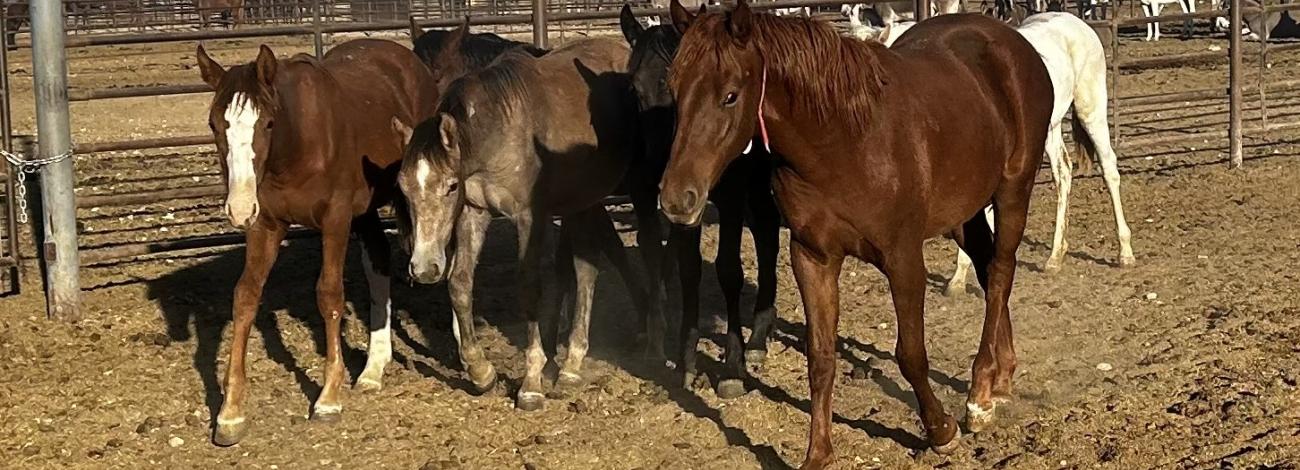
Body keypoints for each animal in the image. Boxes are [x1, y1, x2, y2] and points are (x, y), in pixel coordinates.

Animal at [195, 39, 438, 446]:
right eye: (214, 124)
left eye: (268, 122)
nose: (238, 207)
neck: (294, 148)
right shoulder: (265, 224)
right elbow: (245, 296)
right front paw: (230, 412)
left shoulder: (335, 220)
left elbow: (329, 295)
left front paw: (328, 398)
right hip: (365, 211)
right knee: (378, 261)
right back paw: (374, 367)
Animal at [396, 38, 653, 412]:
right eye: (403, 188)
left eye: (451, 186)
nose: (424, 267)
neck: (500, 131)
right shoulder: (474, 211)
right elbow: (459, 283)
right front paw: (481, 370)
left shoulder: (529, 216)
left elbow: (529, 287)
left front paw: (531, 382)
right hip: (584, 201)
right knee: (589, 266)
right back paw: (573, 363)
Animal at [619, 4, 782, 398]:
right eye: (633, 86)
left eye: (667, 87)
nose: (657, 169)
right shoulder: (683, 207)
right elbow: (688, 269)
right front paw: (686, 360)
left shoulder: (731, 200)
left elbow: (729, 270)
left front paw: (732, 368)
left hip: (757, 186)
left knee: (768, 233)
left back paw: (757, 339)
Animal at [659, 0, 1055, 466]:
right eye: (674, 88)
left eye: (730, 95)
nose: (676, 199)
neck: (844, 141)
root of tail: (1014, 42)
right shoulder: (812, 257)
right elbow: (820, 357)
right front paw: (818, 453)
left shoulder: (903, 259)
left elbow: (911, 355)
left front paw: (941, 430)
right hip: (965, 212)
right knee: (987, 267)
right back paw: (1001, 375)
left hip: (1013, 189)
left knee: (1001, 272)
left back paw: (979, 394)